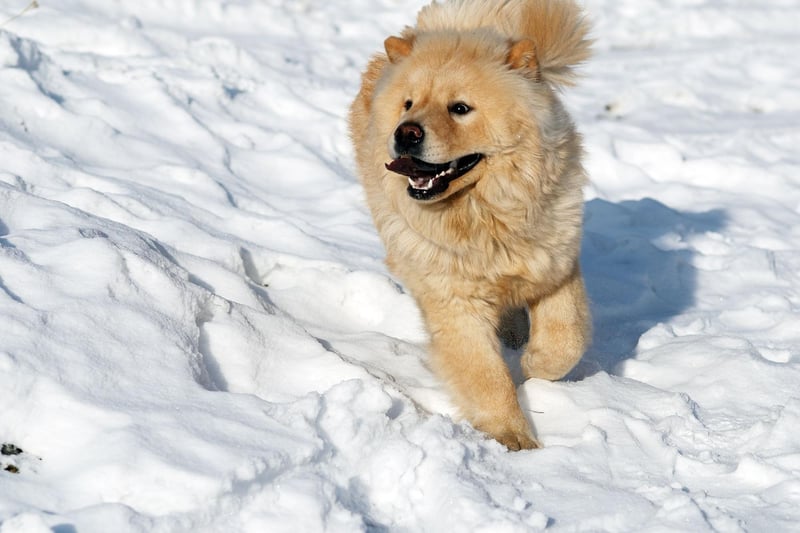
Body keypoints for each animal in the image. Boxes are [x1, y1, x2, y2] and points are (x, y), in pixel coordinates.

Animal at [350, 0, 592, 448]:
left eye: (459, 108)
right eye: (408, 104)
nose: (406, 133)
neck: (484, 216)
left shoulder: (555, 264)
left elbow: (566, 338)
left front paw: (534, 365)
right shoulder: (454, 297)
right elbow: (486, 374)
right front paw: (513, 437)